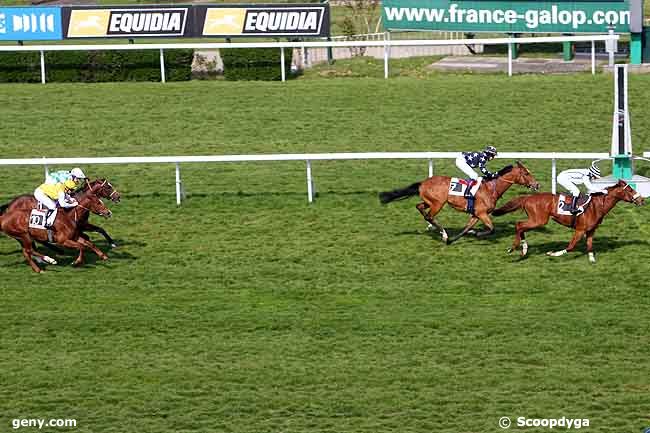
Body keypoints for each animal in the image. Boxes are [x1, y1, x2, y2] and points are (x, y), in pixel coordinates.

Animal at [380, 161, 536, 243]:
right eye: (526, 173)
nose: (537, 184)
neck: (491, 188)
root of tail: (422, 183)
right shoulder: (481, 213)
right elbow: (492, 228)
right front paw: (477, 234)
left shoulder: (476, 214)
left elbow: (467, 227)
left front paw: (459, 237)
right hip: (438, 203)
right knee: (429, 216)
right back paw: (443, 234)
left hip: (429, 201)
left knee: (420, 207)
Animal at [494, 178, 640, 262]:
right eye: (630, 189)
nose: (641, 199)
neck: (597, 205)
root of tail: (528, 197)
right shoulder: (580, 230)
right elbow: (570, 246)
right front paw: (552, 254)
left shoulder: (591, 230)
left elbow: (590, 246)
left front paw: (592, 260)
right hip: (539, 220)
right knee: (519, 225)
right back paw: (514, 248)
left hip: (536, 220)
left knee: (521, 226)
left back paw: (523, 249)